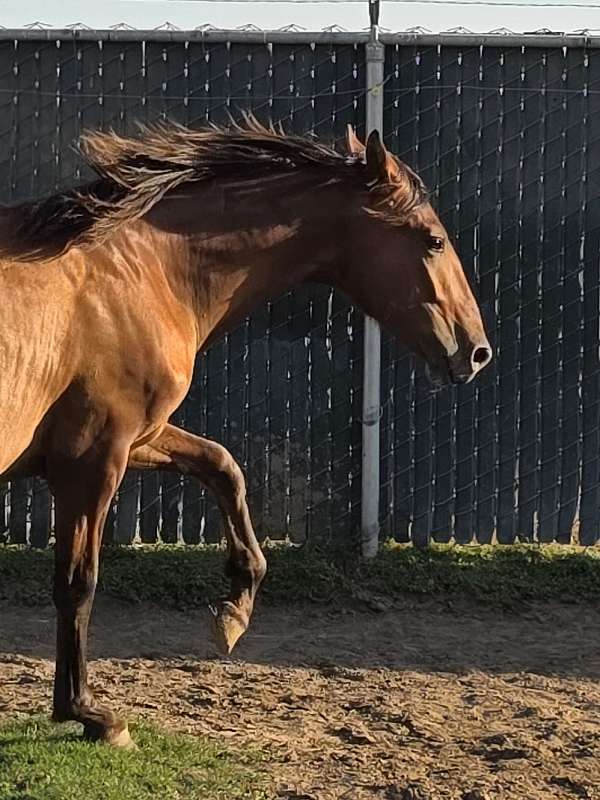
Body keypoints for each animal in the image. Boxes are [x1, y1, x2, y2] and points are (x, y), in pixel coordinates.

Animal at [0, 118, 491, 748]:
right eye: (432, 240)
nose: (476, 351)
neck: (141, 271)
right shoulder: (93, 460)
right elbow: (77, 584)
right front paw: (90, 714)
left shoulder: (138, 440)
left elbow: (223, 466)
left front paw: (234, 609)